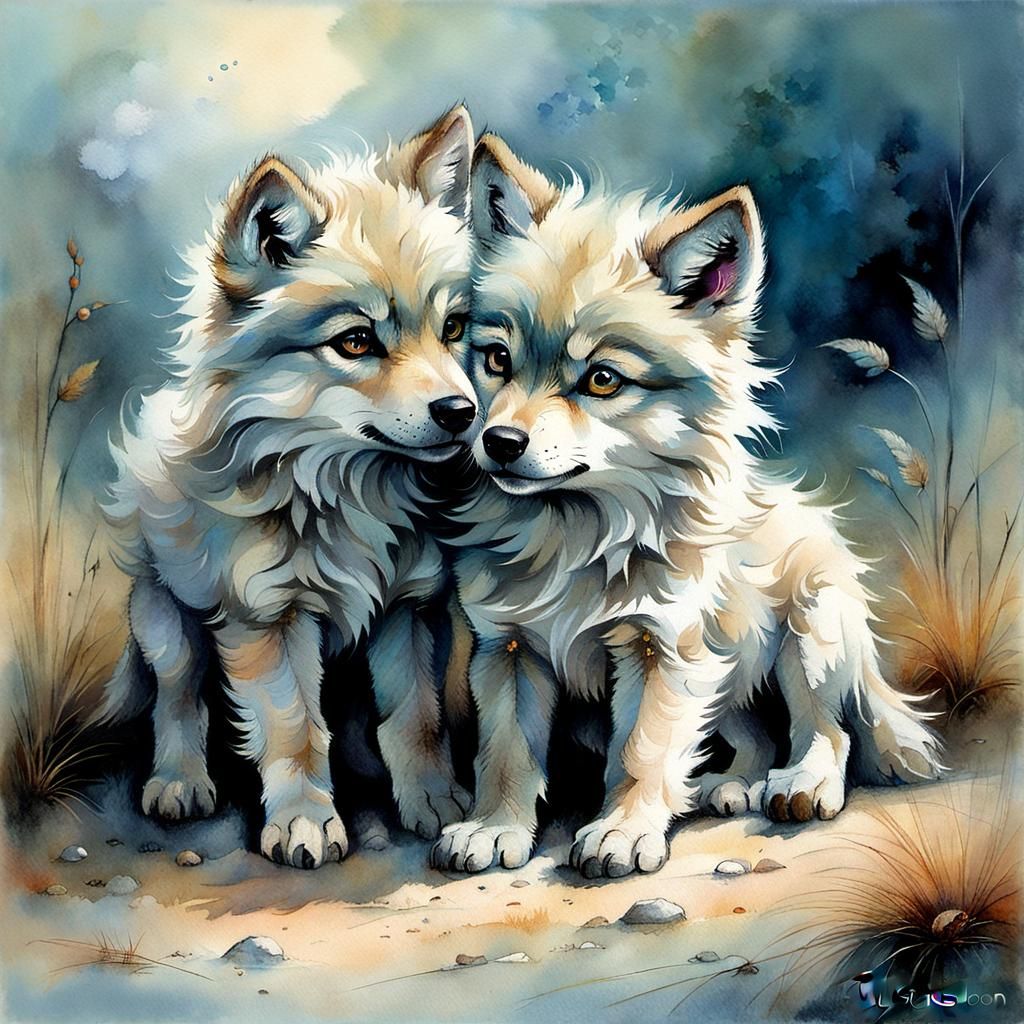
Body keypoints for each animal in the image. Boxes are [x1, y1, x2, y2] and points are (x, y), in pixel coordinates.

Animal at [101, 106, 480, 868]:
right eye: (356, 342)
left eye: (453, 327)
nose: (461, 412)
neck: (350, 495)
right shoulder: (267, 619)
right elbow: (296, 729)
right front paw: (305, 820)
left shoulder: (410, 609)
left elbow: (415, 719)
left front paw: (430, 800)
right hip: (168, 624)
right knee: (179, 697)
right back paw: (179, 782)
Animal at [432, 134, 942, 878]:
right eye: (497, 359)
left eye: (602, 380)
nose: (498, 442)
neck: (576, 537)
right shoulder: (508, 651)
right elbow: (505, 754)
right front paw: (494, 829)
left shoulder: (664, 650)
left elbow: (639, 751)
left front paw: (621, 831)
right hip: (728, 668)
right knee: (749, 736)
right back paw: (723, 787)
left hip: (807, 639)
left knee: (827, 729)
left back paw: (800, 785)